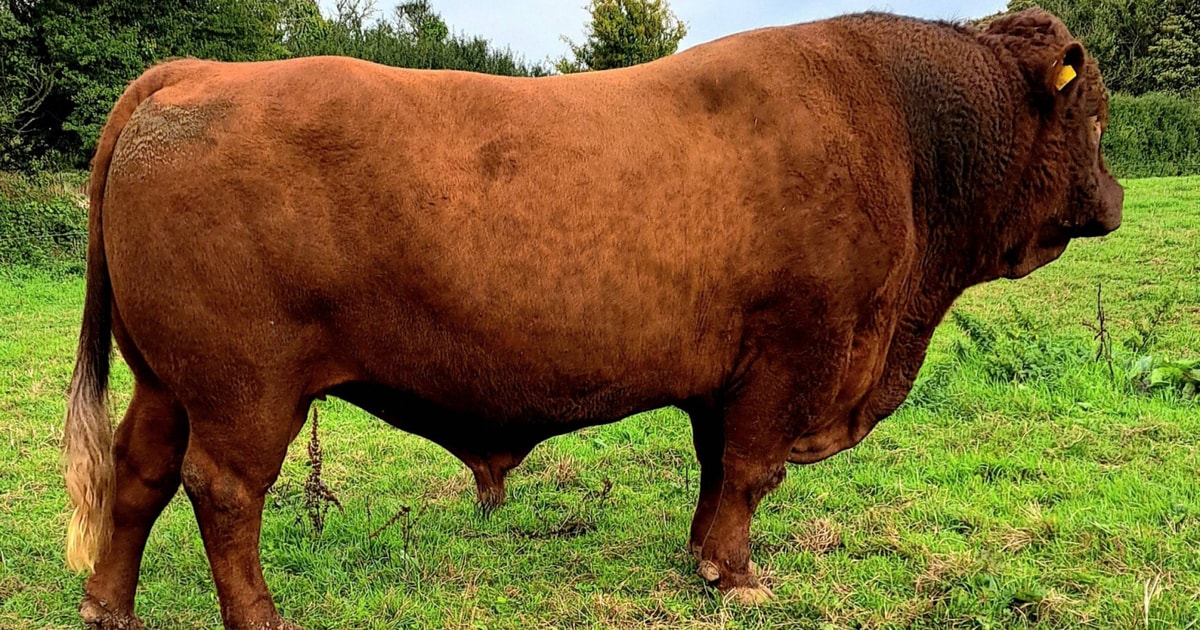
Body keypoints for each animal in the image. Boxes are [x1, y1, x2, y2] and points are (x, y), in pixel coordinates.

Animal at [63, 9, 1122, 629]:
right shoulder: (795, 349)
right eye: (1095, 115)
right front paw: (741, 578)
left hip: (167, 379)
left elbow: (718, 471)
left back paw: (108, 608)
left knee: (139, 474)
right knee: (224, 492)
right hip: (245, 388)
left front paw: (704, 558)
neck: (901, 128)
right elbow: (752, 470)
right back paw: (260, 618)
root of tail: (197, 74)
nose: (1112, 199)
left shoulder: (729, 375)